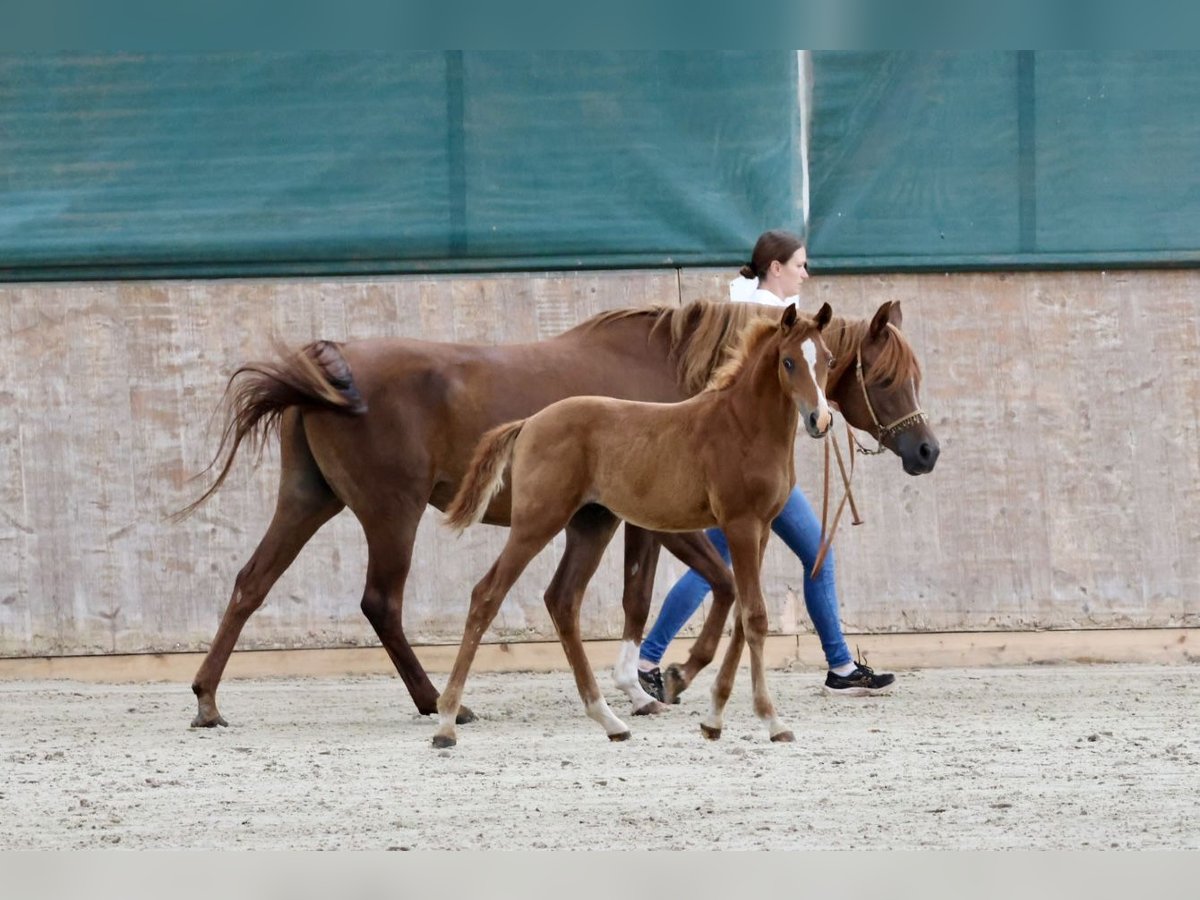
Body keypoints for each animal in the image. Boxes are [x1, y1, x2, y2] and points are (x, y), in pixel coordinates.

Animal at [180, 297, 936, 734]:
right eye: (886, 377)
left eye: (833, 362)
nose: (927, 451)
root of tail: (324, 366)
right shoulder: (660, 521)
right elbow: (677, 592)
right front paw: (660, 680)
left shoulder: (635, 518)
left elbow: (672, 595)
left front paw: (654, 682)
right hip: (392, 513)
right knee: (382, 603)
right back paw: (440, 702)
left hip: (308, 500)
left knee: (250, 584)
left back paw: (208, 700)